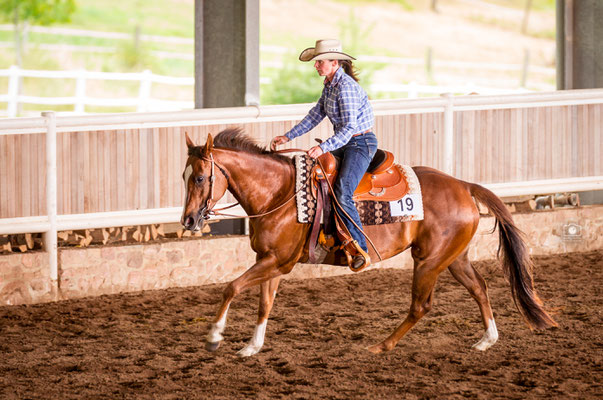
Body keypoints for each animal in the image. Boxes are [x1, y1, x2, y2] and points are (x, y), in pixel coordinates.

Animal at [182, 127, 560, 356]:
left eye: (200, 177)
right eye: (185, 175)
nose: (188, 220)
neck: (281, 192)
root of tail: (464, 185)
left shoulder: (277, 262)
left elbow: (231, 287)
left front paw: (214, 336)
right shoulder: (270, 261)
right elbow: (264, 304)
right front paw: (252, 347)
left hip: (428, 261)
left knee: (421, 305)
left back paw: (383, 346)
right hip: (455, 258)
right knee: (479, 287)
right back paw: (487, 340)